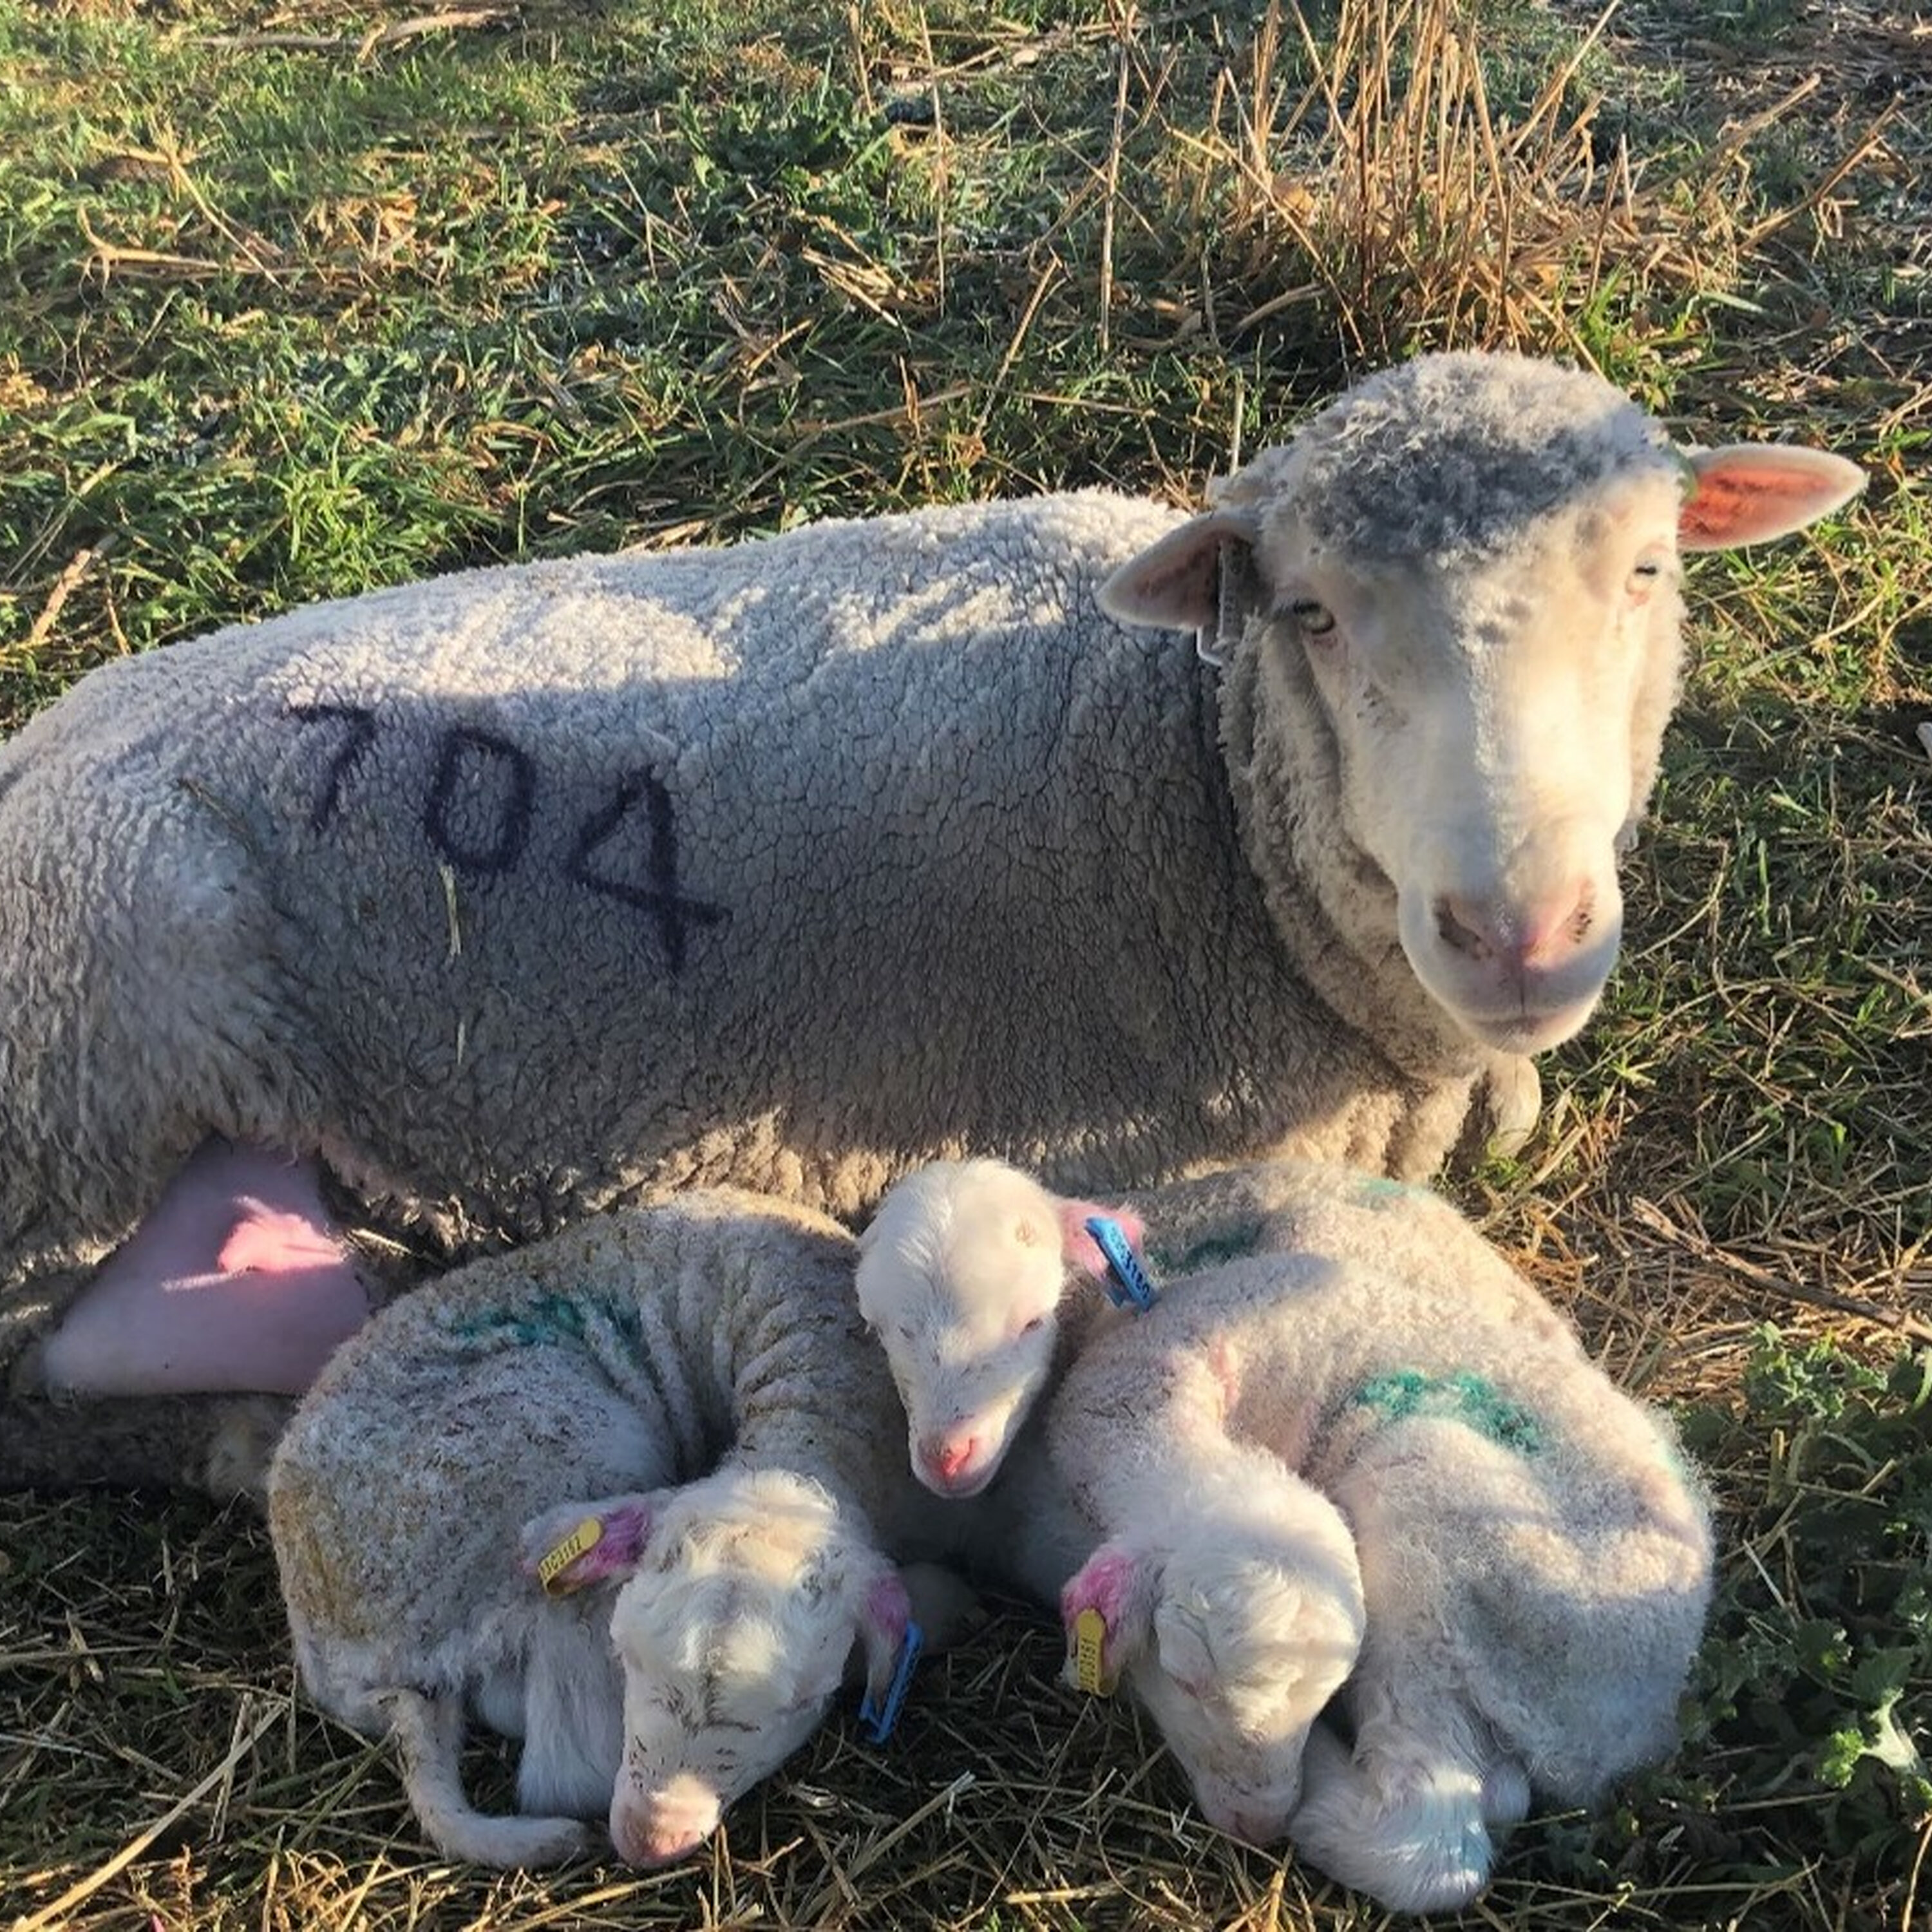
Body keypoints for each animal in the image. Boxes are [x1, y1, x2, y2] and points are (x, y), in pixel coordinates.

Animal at [0, 350, 1863, 1488]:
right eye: (1313, 613)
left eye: (1647, 571)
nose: (1517, 931)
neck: (1196, 774)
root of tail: (42, 740)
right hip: (83, 1089)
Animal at [265, 1187, 950, 1869]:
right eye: (628, 1657)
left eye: (805, 1702)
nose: (648, 1839)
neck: (805, 1428)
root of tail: (333, 1655)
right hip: (567, 1459)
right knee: (564, 1764)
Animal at [859, 1157, 1714, 1913]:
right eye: (885, 1332)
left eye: (1028, 1318)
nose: (1256, 1823)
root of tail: (1638, 1712)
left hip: (1444, 1541)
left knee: (1432, 1841)